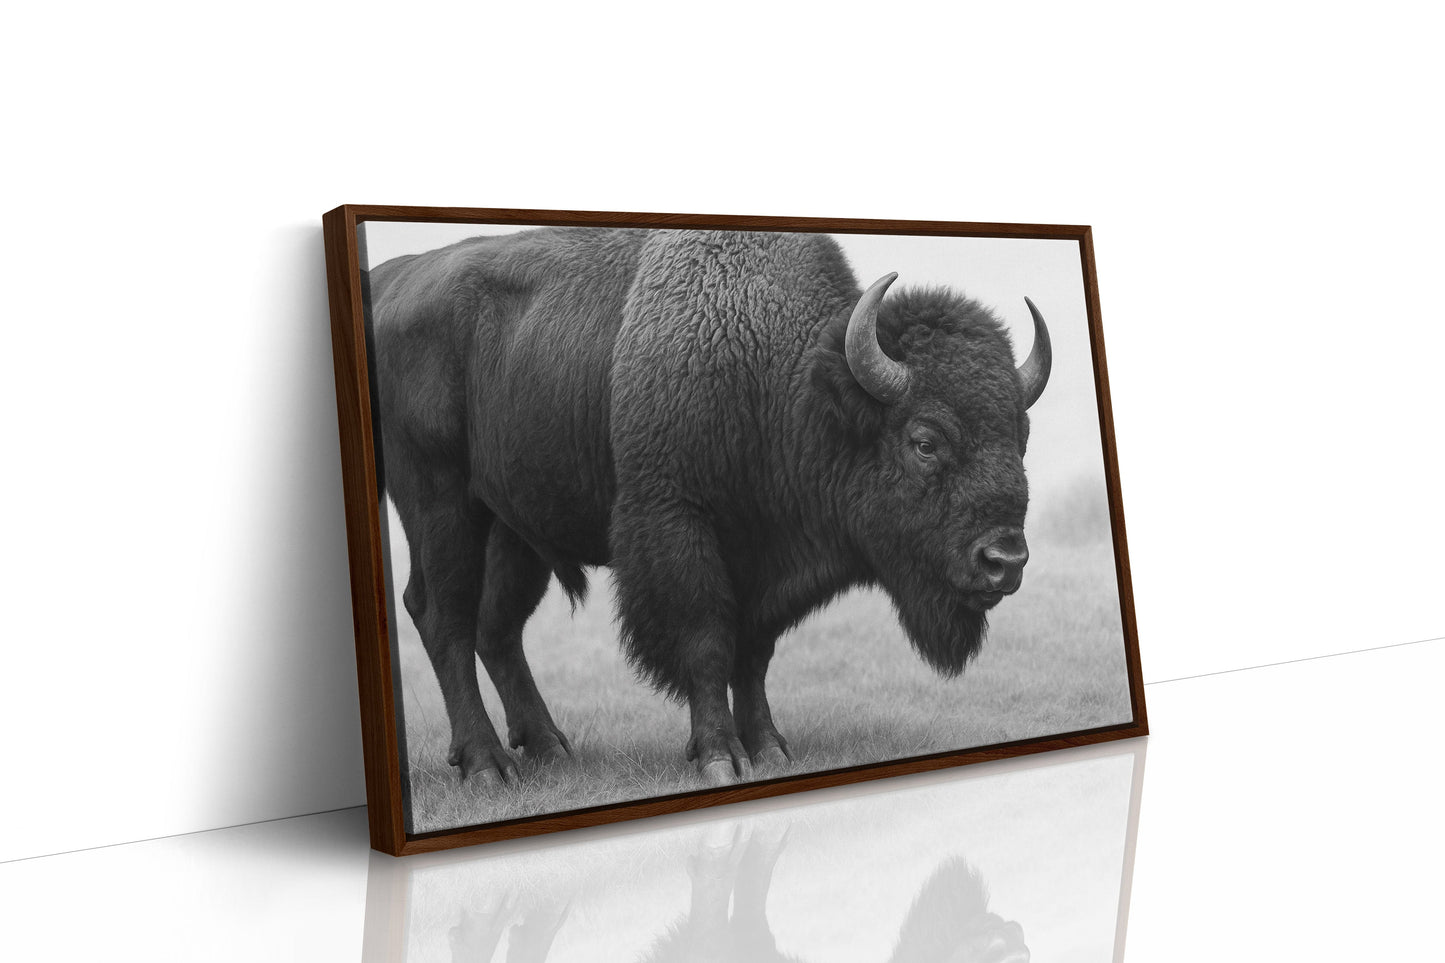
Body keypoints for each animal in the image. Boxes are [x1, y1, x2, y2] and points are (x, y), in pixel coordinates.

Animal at [366, 227, 1050, 787]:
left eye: (1020, 435)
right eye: (924, 440)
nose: (1004, 560)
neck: (787, 382)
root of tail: (386, 284)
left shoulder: (761, 568)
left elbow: (753, 655)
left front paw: (770, 747)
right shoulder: (679, 526)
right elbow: (706, 642)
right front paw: (721, 756)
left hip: (514, 529)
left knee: (496, 627)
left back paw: (551, 749)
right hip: (439, 504)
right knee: (442, 616)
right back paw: (487, 766)